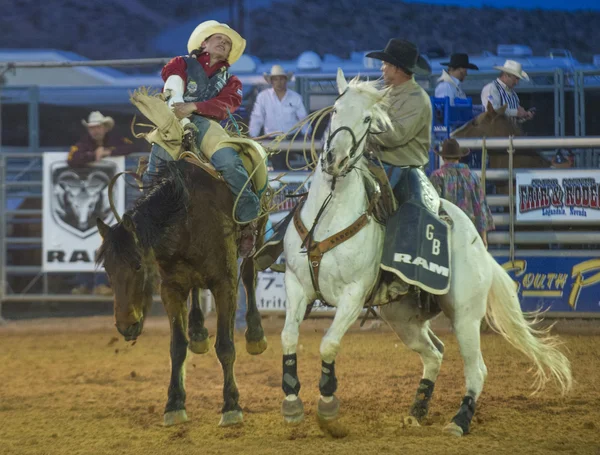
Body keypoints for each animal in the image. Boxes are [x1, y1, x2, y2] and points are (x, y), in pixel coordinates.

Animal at [282, 68, 572, 438]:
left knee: (477, 369)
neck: (331, 213)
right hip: (403, 318)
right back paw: (417, 410)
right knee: (434, 354)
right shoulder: (296, 284)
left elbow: (328, 344)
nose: (335, 159)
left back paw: (459, 421)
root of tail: (480, 249)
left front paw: (328, 408)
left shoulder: (353, 295)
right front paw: (292, 402)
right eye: (335, 110)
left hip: (465, 316)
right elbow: (289, 337)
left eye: (367, 119)